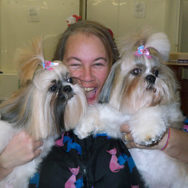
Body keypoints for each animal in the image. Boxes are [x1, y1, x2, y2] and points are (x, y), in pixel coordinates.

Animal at [74, 31, 187, 187]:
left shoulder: (167, 110)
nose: (151, 77)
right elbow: (97, 112)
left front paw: (148, 134)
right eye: (136, 71)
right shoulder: (115, 122)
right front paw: (83, 127)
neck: (132, 108)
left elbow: (148, 112)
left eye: (156, 72)